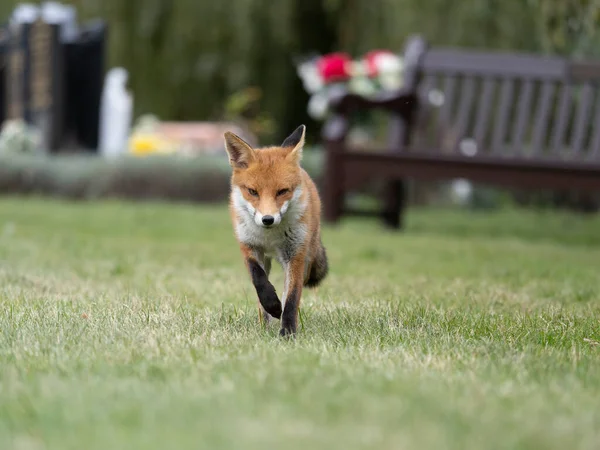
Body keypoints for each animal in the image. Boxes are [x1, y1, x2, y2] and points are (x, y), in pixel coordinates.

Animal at [224, 125, 328, 336]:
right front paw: (272, 305)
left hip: (306, 255)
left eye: (282, 191)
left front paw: (287, 332)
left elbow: (291, 297)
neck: (269, 237)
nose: (267, 219)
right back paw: (265, 323)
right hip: (267, 259)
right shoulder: (248, 246)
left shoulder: (295, 254)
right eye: (252, 191)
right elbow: (258, 279)